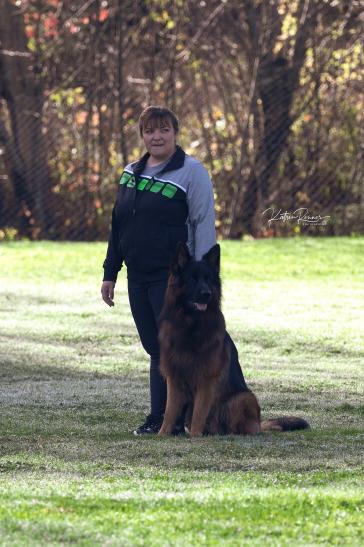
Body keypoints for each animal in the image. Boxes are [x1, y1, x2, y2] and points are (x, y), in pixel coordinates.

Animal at [158, 244, 308, 436]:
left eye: (208, 279)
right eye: (192, 279)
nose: (207, 294)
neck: (191, 326)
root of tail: (259, 423)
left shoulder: (206, 379)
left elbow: (199, 413)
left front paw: (195, 436)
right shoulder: (174, 377)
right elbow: (169, 412)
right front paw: (161, 435)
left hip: (243, 397)